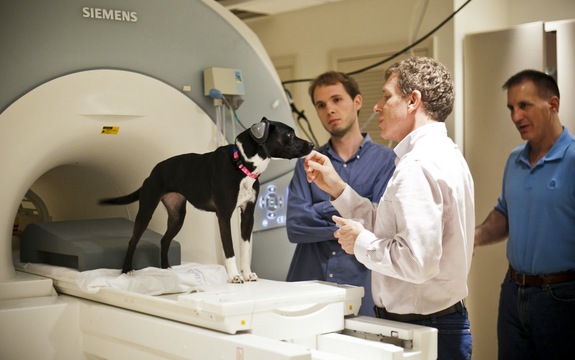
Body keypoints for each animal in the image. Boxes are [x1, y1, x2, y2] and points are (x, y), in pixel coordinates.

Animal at [100, 118, 316, 284]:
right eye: (289, 134)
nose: (312, 145)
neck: (241, 164)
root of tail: (152, 172)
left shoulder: (248, 216)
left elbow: (245, 248)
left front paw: (247, 274)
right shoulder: (224, 215)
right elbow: (230, 250)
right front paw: (234, 276)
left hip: (177, 216)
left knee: (164, 240)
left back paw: (166, 268)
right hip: (146, 209)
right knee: (133, 240)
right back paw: (126, 270)